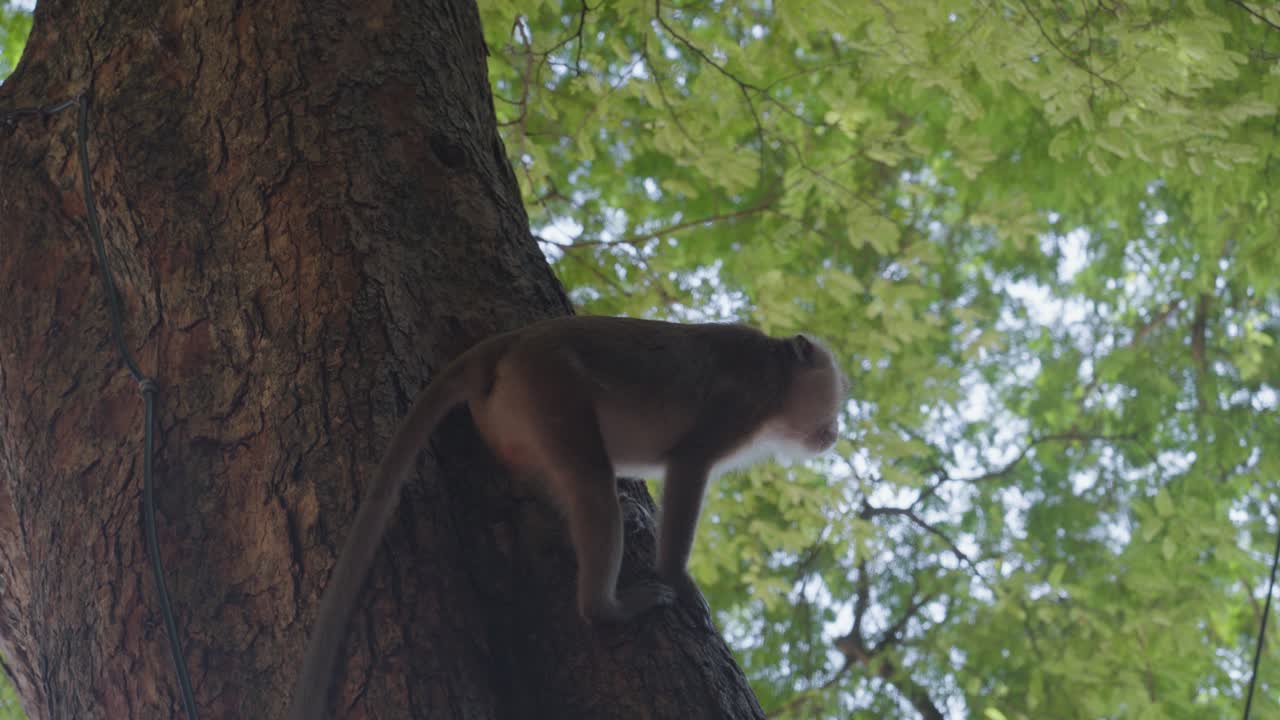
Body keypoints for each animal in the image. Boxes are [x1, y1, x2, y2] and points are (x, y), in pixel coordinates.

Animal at [287, 315, 846, 720]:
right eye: (838, 397)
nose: (837, 431)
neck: (776, 382)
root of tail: (512, 343)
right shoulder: (743, 401)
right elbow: (688, 464)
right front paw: (679, 580)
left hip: (509, 417)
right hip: (547, 384)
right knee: (589, 479)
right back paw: (607, 608)